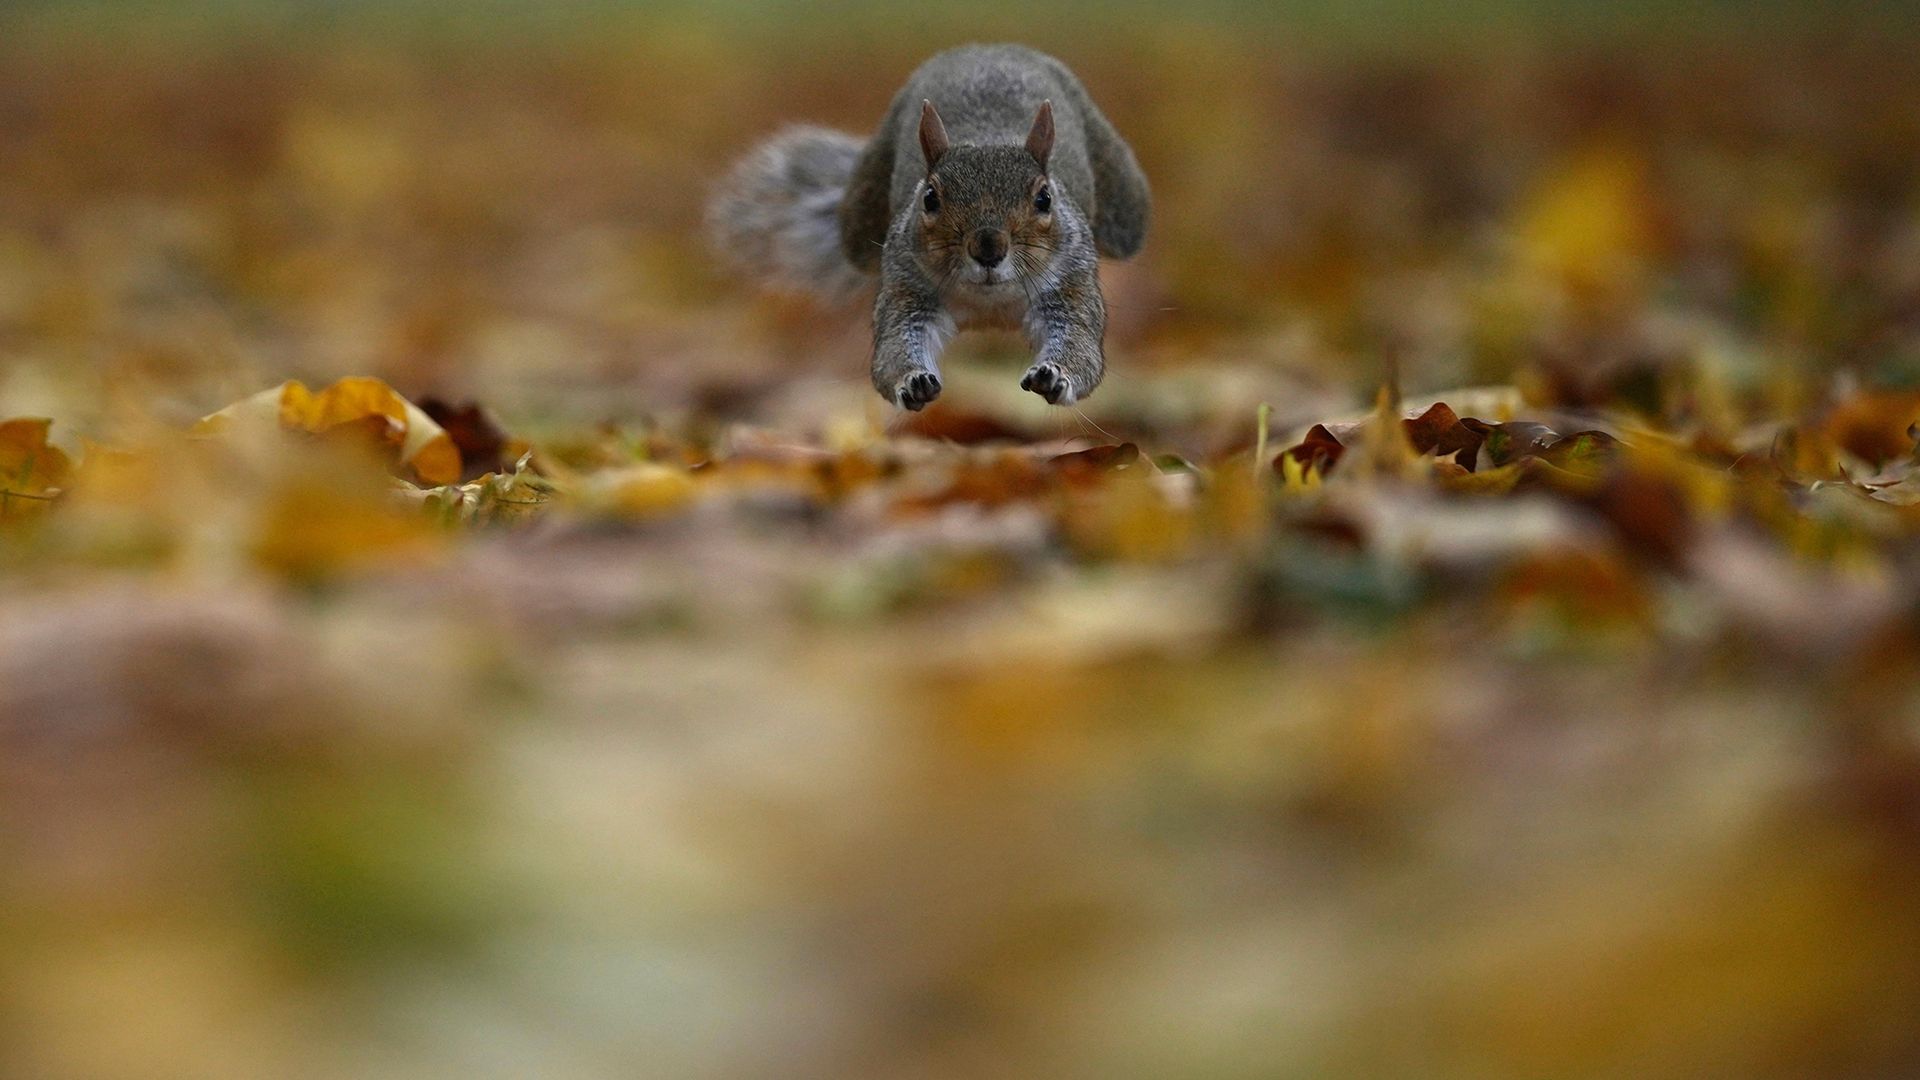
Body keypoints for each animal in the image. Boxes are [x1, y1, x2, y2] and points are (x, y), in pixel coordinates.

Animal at [709, 44, 1150, 410]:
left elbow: (1080, 344)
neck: (990, 303)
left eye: (1045, 199)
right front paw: (912, 381)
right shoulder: (907, 288)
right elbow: (893, 347)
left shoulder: (1070, 285)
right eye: (930, 198)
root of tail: (989, 47)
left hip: (1125, 213)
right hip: (859, 220)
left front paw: (1055, 375)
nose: (988, 247)